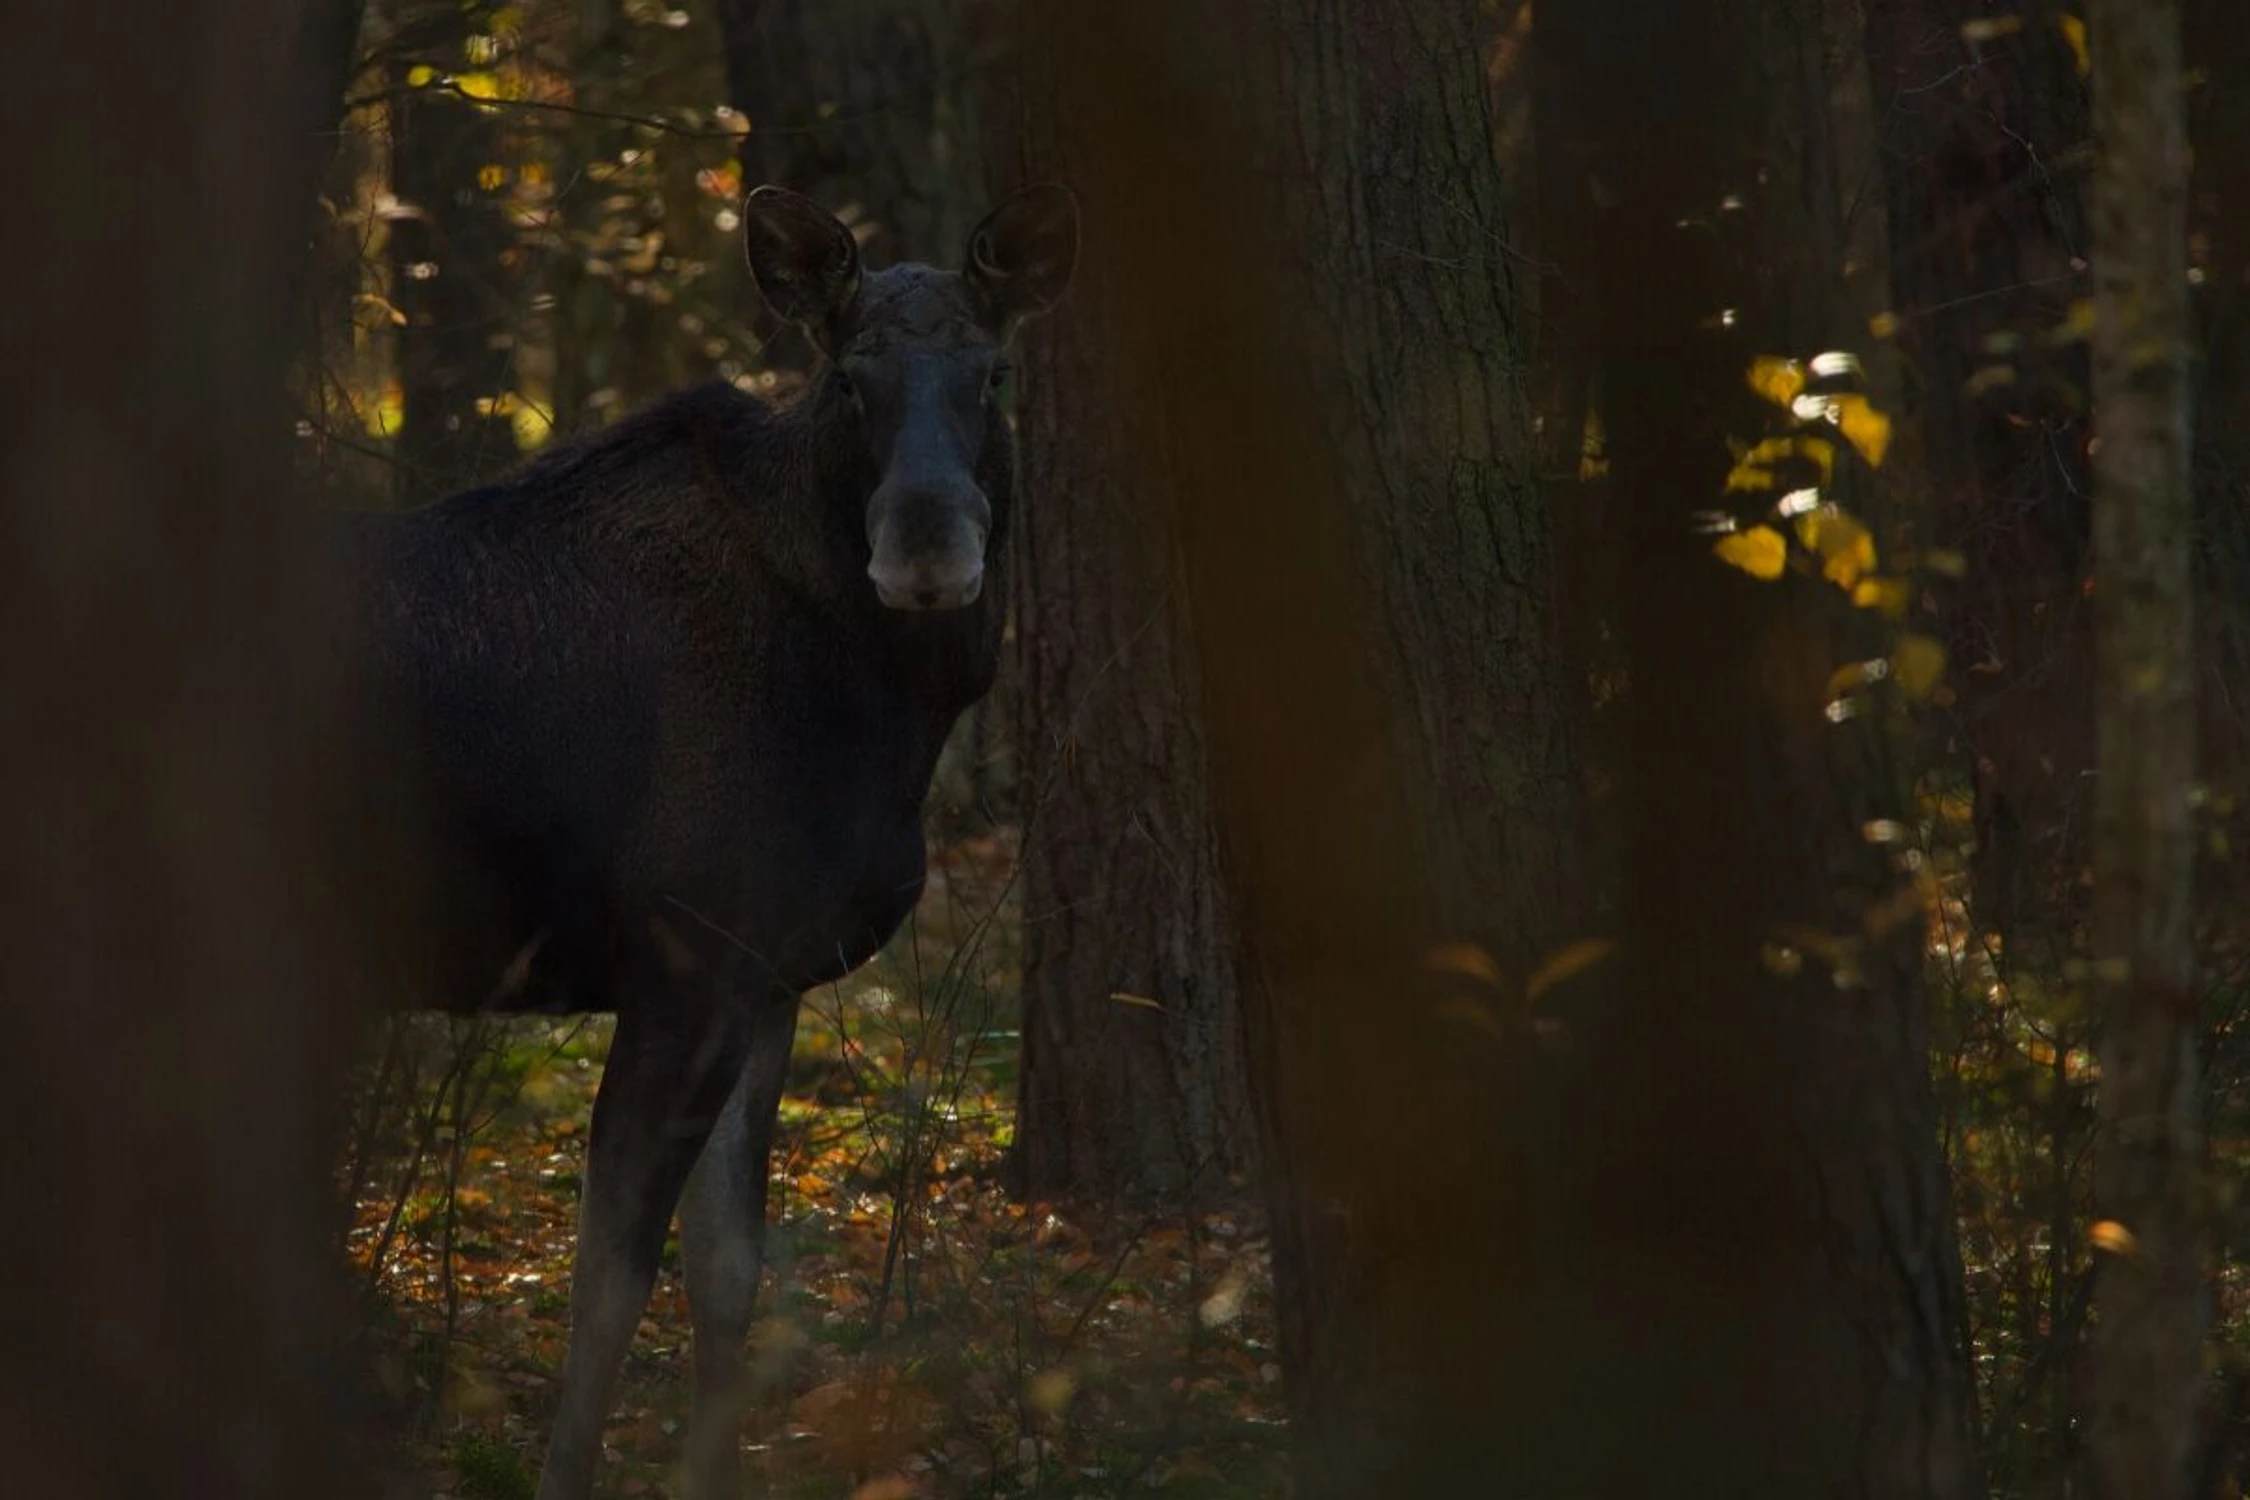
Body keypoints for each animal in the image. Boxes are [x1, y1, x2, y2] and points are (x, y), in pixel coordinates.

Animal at [333, 182, 1080, 1493]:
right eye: (849, 378)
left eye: (992, 373)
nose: (926, 548)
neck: (889, 716)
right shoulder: (682, 970)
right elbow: (607, 1288)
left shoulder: (762, 981)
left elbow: (727, 1276)